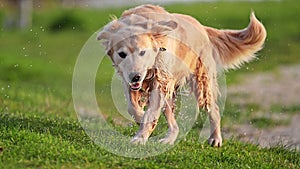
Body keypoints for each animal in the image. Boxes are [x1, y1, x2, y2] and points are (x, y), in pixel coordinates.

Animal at [97, 3, 266, 147]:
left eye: (142, 52)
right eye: (122, 54)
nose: (136, 77)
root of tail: (201, 27)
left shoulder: (160, 81)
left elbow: (150, 112)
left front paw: (140, 137)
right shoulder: (129, 80)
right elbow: (132, 108)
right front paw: (140, 119)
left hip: (201, 82)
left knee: (214, 110)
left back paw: (215, 139)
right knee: (173, 122)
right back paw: (168, 139)